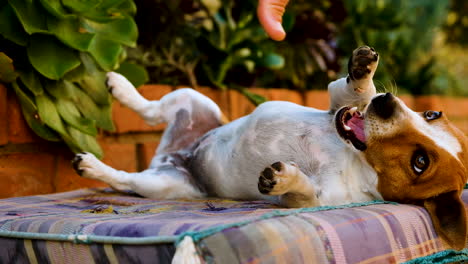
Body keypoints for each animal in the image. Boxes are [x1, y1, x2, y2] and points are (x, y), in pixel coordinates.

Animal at [73, 46, 468, 250]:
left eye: (420, 161)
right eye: (432, 113)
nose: (387, 103)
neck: (349, 153)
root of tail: (176, 154)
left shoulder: (318, 200)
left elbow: (302, 192)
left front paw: (284, 177)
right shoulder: (336, 106)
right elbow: (352, 92)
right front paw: (362, 69)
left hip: (162, 183)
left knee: (125, 179)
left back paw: (92, 165)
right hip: (194, 99)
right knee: (151, 108)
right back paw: (120, 86)